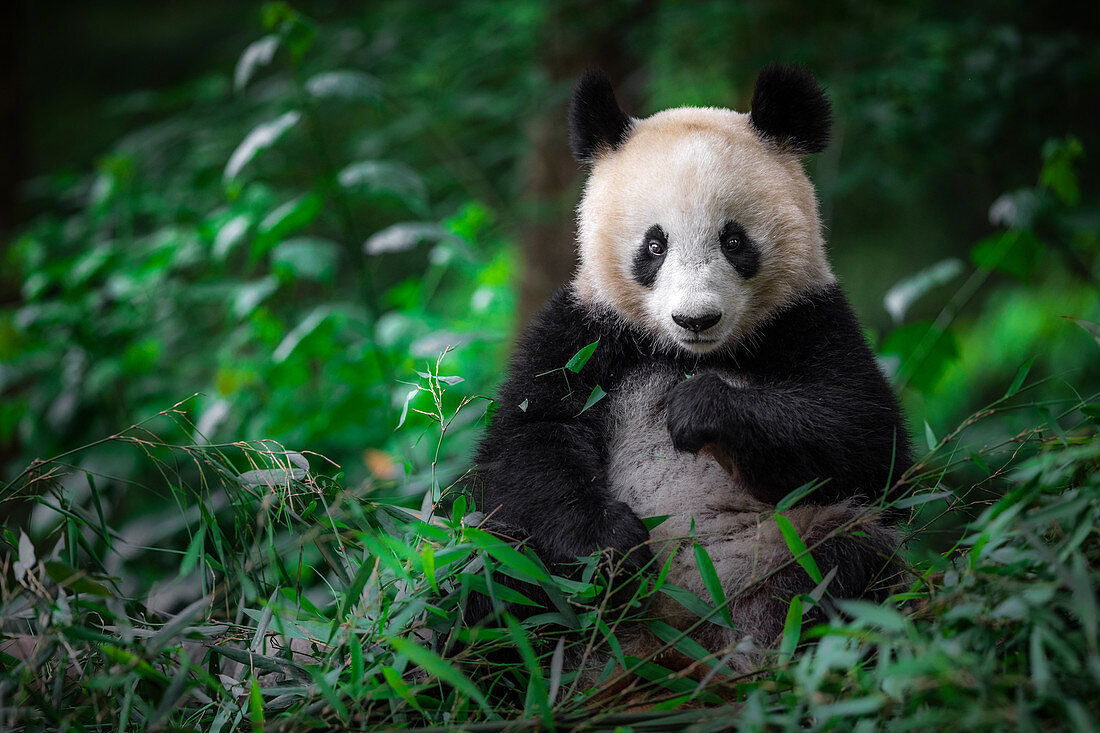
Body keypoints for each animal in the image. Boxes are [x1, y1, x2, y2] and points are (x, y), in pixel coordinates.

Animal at [473, 64, 910, 673]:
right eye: (654, 245)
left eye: (734, 240)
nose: (695, 318)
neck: (687, 354)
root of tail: (672, 642)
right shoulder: (585, 329)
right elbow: (528, 440)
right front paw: (612, 546)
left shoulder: (811, 319)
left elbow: (867, 439)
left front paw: (699, 408)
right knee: (494, 573)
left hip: (776, 554)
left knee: (850, 557)